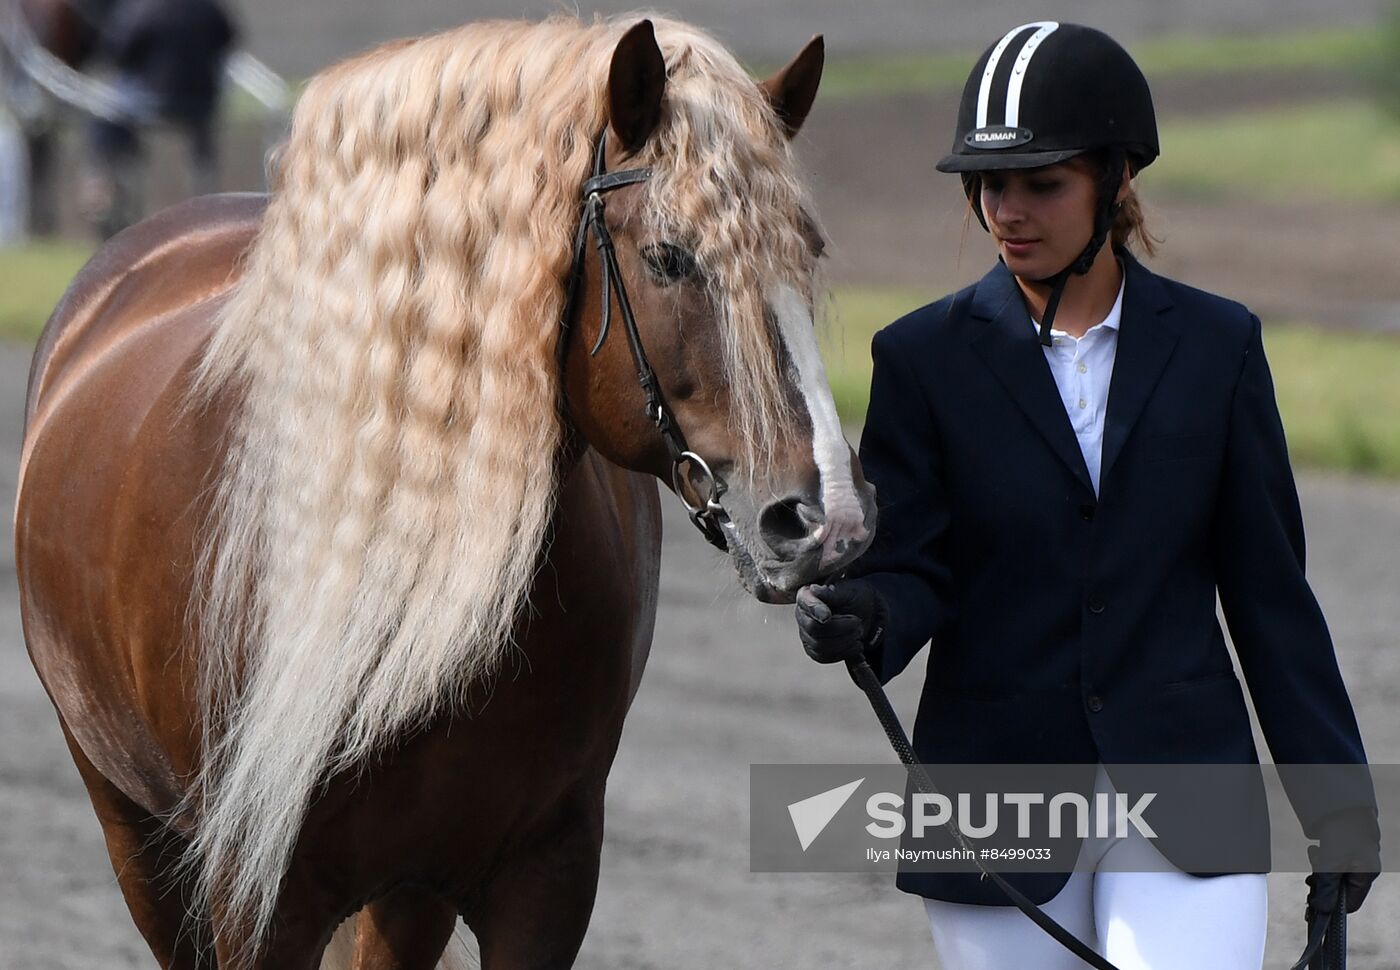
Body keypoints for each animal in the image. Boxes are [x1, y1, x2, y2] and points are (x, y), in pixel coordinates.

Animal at [13, 15, 873, 968]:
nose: (826, 519)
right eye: (667, 256)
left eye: (807, 253)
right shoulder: (253, 896)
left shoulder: (544, 875)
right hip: (137, 835)